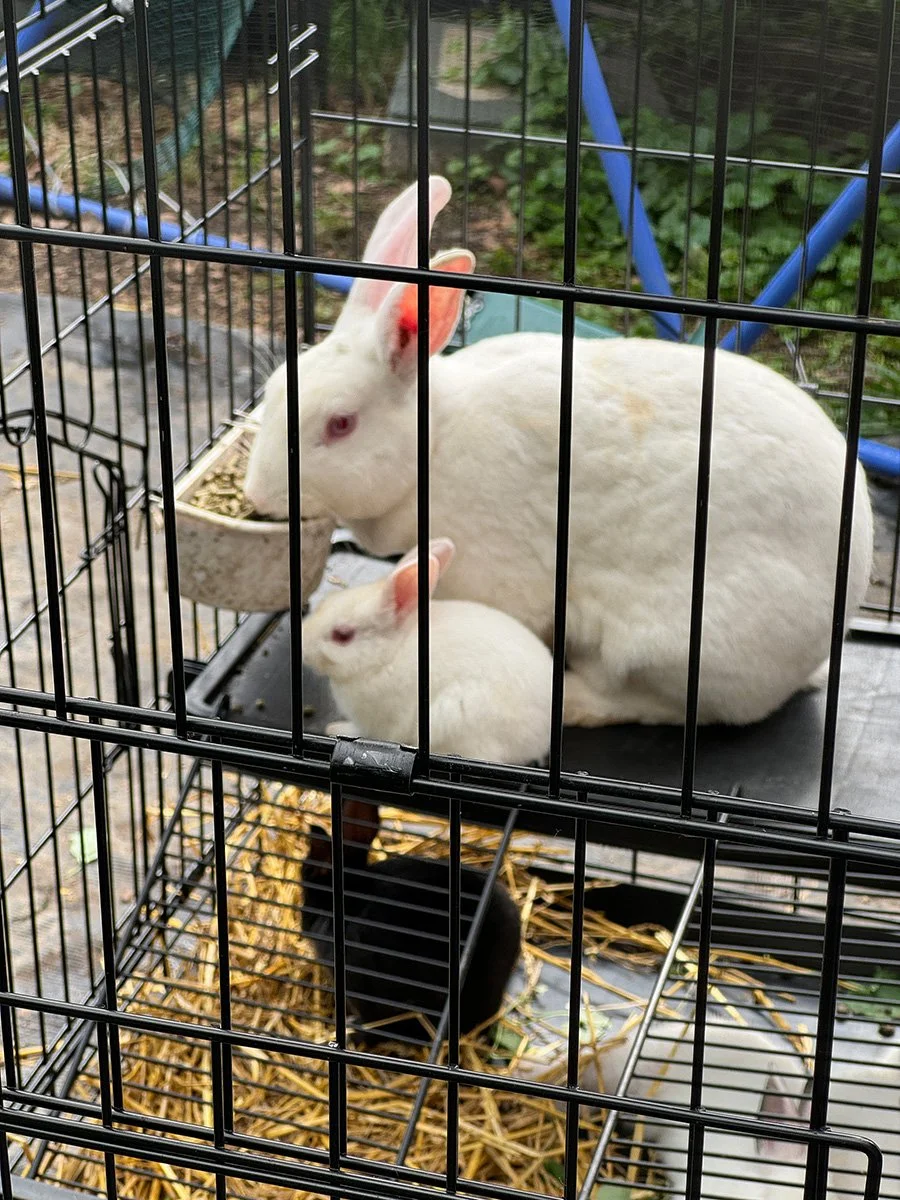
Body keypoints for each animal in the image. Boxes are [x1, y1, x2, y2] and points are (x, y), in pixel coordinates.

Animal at [244, 175, 874, 729]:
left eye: (340, 424)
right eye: (273, 388)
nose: (257, 496)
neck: (432, 444)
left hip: (673, 649)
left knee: (673, 709)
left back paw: (573, 700)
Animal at [301, 536, 553, 765]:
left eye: (342, 635)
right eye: (327, 600)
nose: (303, 645)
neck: (388, 656)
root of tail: (543, 738)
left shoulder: (376, 722)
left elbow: (359, 733)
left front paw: (334, 727)